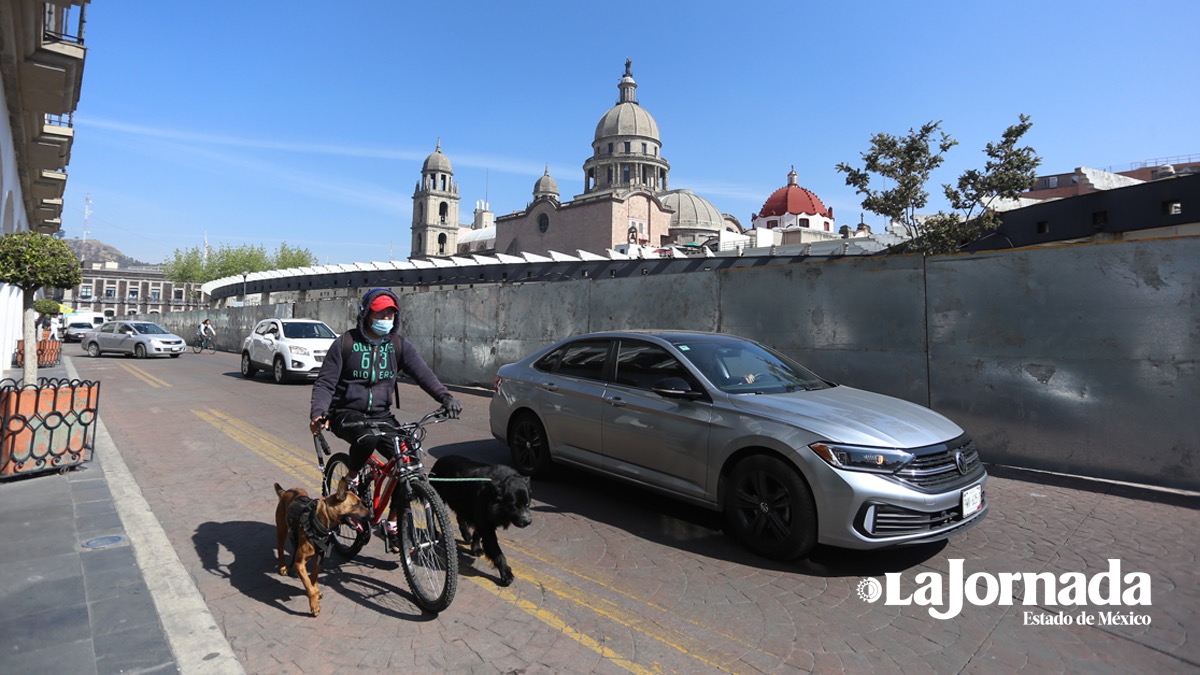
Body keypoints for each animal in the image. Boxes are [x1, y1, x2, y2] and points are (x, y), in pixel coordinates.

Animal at [274, 478, 367, 614]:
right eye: (356, 504)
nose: (371, 515)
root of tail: (286, 492)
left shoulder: (319, 557)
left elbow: (314, 576)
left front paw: (316, 590)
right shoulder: (299, 564)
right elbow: (308, 584)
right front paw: (314, 604)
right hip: (282, 530)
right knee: (280, 548)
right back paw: (283, 567)